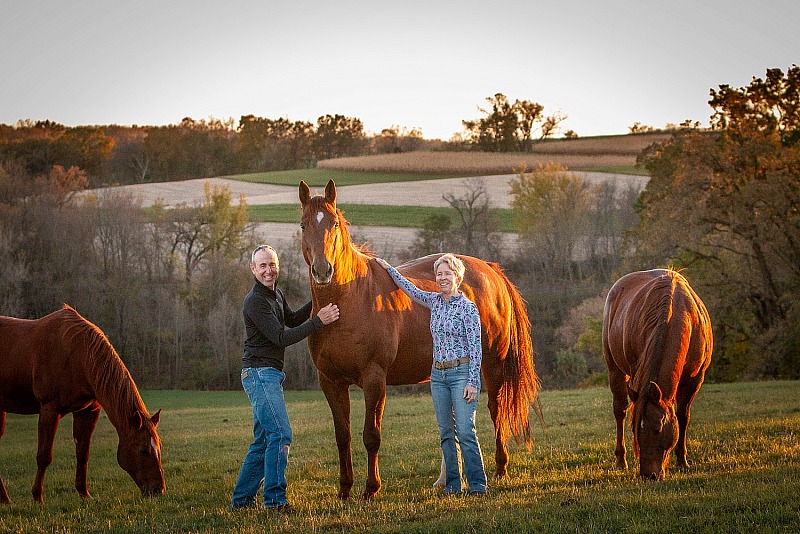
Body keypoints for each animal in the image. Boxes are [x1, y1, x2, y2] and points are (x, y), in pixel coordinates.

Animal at [0, 308, 166, 504]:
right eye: (143, 451)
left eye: (159, 448)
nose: (158, 490)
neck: (77, 354)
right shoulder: (49, 410)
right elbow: (44, 456)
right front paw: (37, 497)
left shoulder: (87, 411)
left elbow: (83, 454)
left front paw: (84, 493)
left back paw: (5, 500)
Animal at [300, 181, 544, 502]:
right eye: (303, 225)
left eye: (335, 223)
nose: (322, 270)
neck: (348, 301)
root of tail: (490, 269)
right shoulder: (330, 382)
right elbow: (343, 436)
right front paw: (344, 489)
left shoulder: (374, 379)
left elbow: (371, 436)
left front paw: (371, 489)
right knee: (453, 422)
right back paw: (446, 480)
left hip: (492, 364)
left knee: (496, 409)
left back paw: (500, 468)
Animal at [600, 270, 712, 484]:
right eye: (636, 429)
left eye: (658, 429)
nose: (649, 475)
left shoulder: (694, 379)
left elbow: (682, 416)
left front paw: (682, 461)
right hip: (615, 370)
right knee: (620, 411)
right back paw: (621, 461)